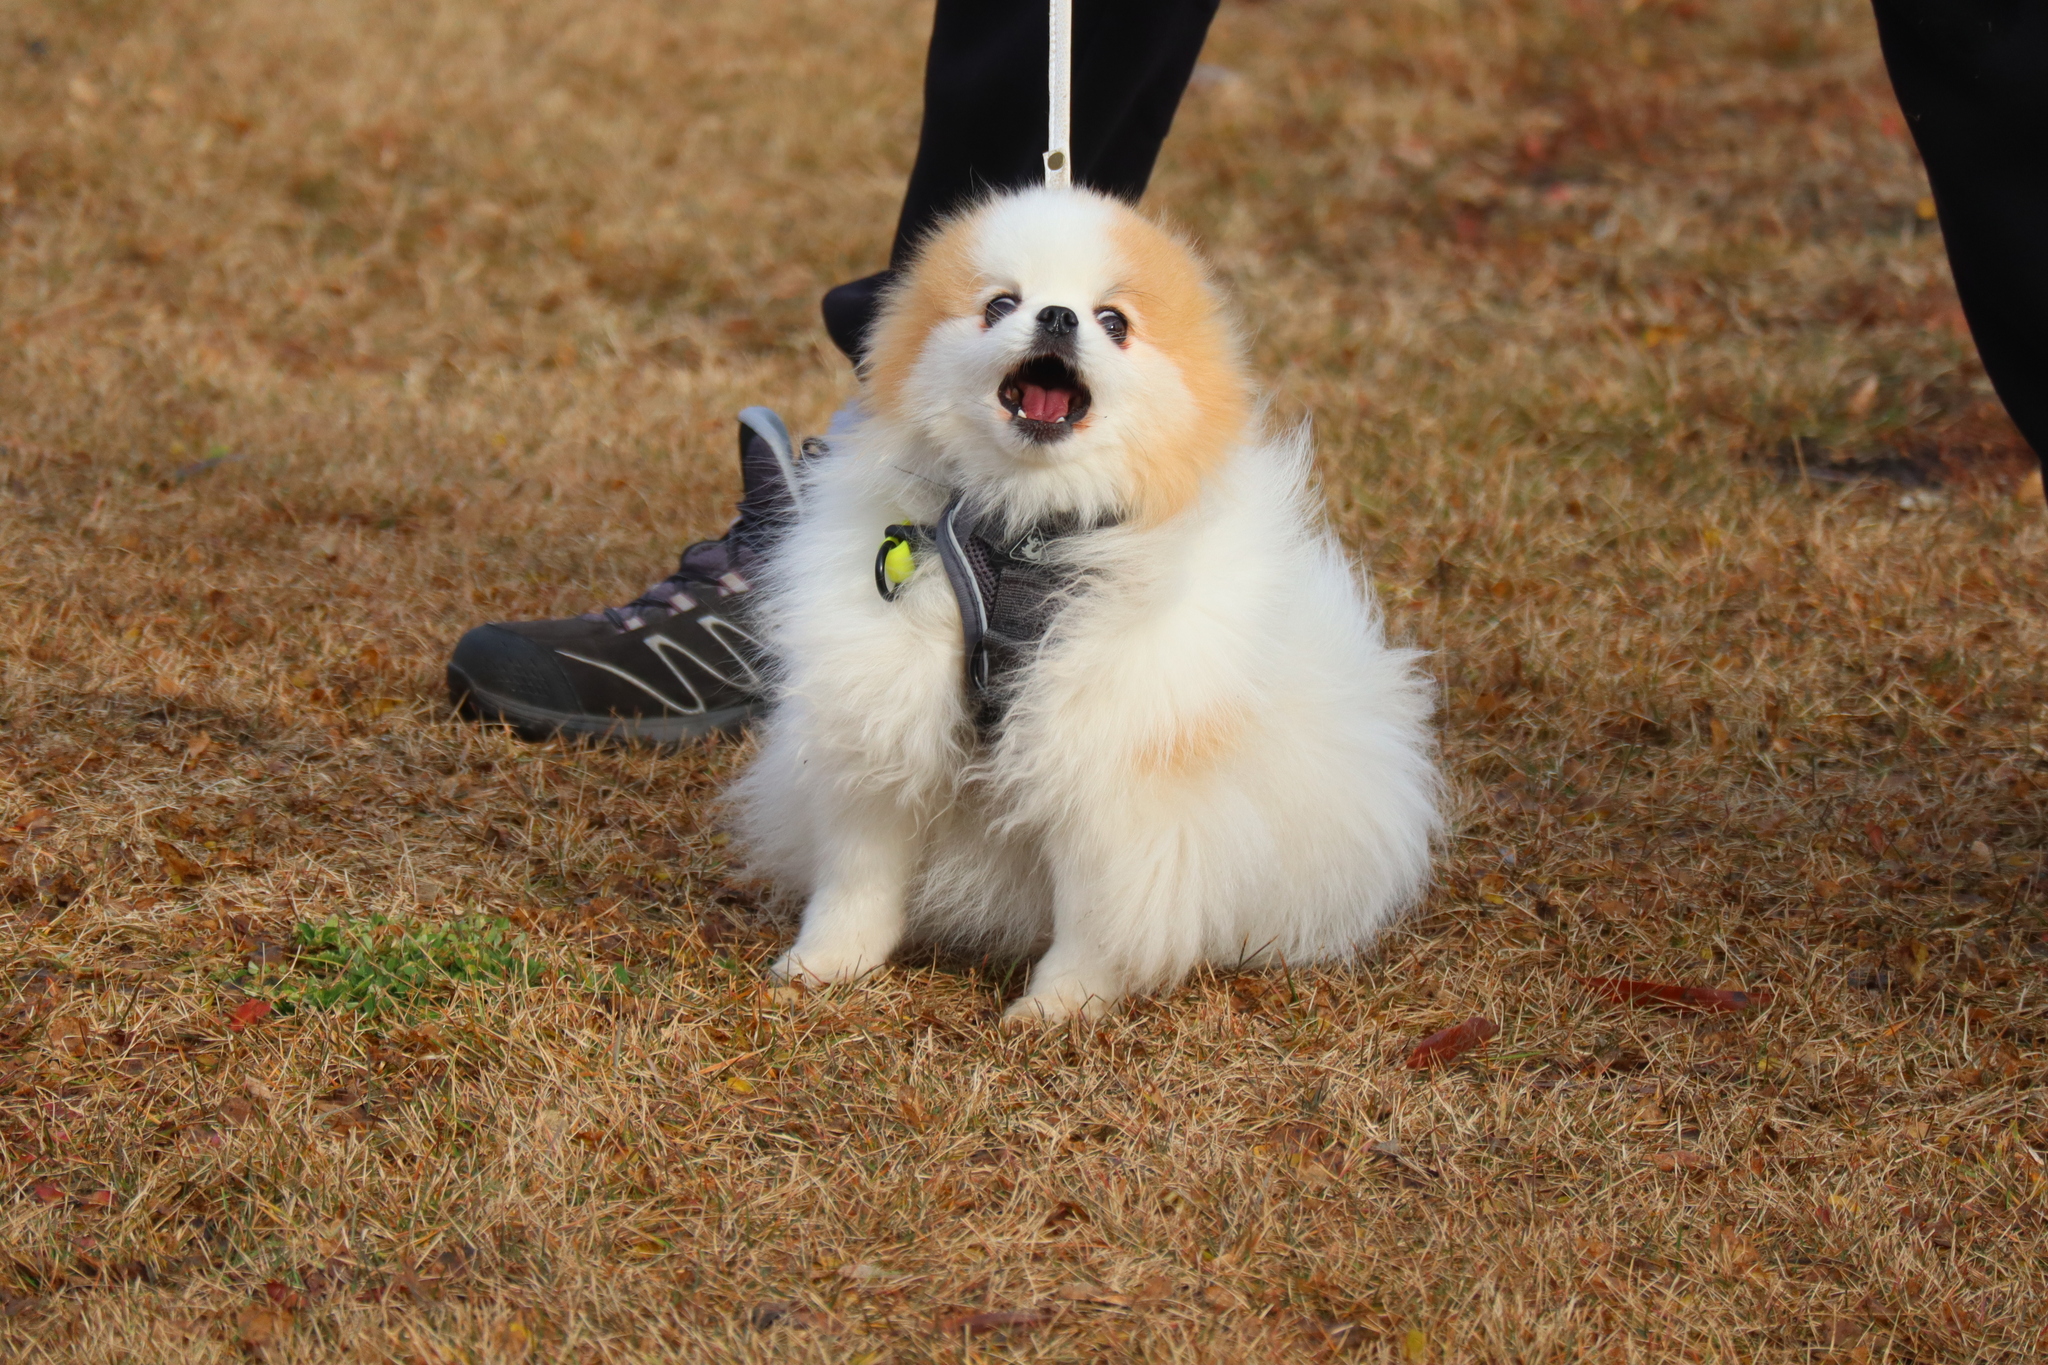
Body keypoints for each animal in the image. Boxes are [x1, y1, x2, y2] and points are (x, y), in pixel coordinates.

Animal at [733, 189, 1441, 1023]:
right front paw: (827, 960)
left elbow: (1097, 911)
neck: (1023, 534)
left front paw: (1058, 1005)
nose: (1057, 316)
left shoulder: (1113, 765)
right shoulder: (884, 716)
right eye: (1000, 304)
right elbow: (860, 872)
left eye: (1114, 321)